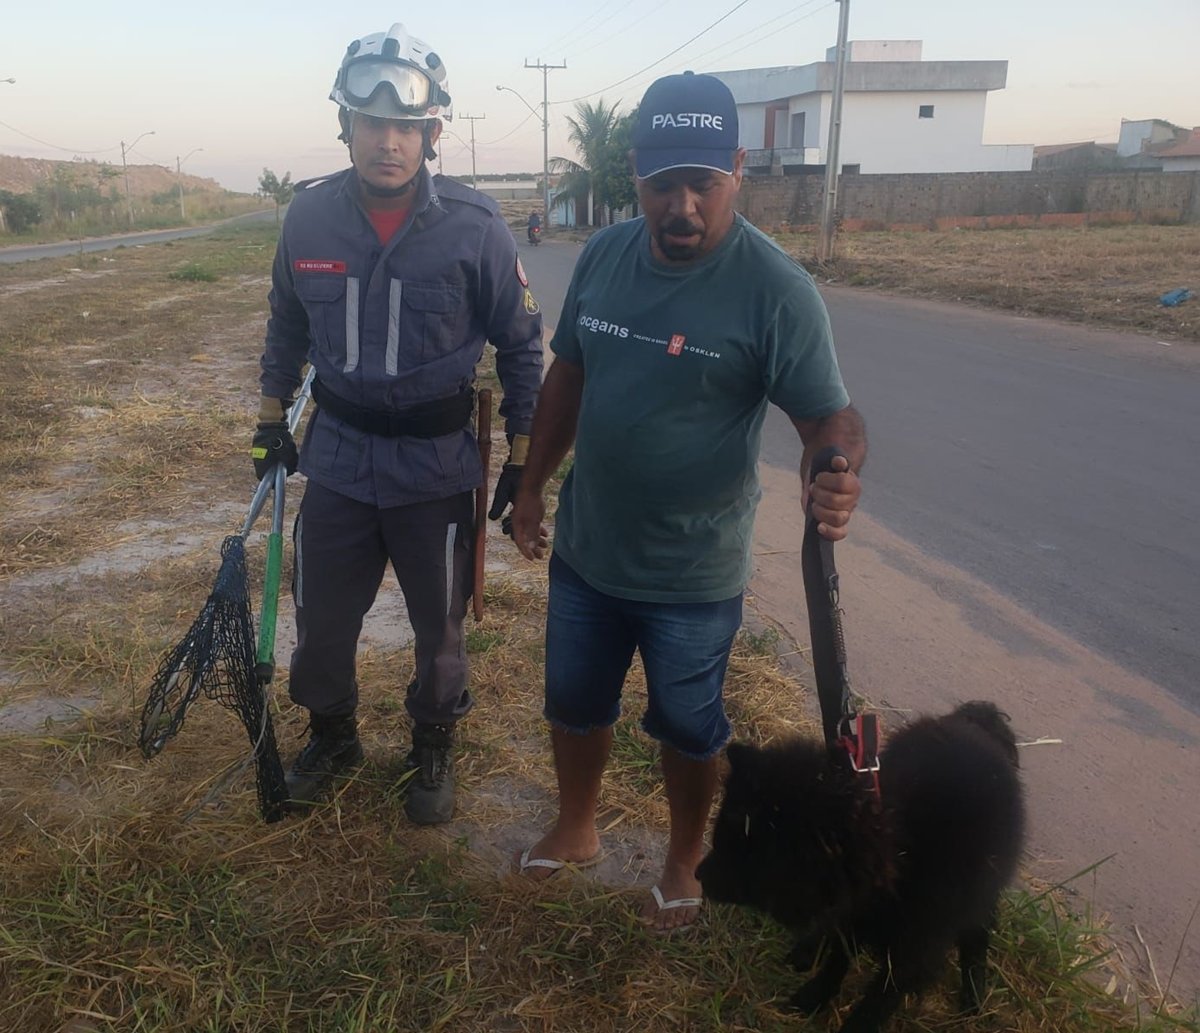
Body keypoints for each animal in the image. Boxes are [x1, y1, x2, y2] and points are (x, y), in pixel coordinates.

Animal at [700, 695, 1027, 1027]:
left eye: (744, 852)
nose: (699, 875)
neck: (896, 848)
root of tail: (982, 722)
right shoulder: (853, 915)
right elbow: (838, 959)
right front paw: (814, 996)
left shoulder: (916, 947)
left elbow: (879, 999)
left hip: (981, 893)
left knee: (978, 933)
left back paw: (974, 993)